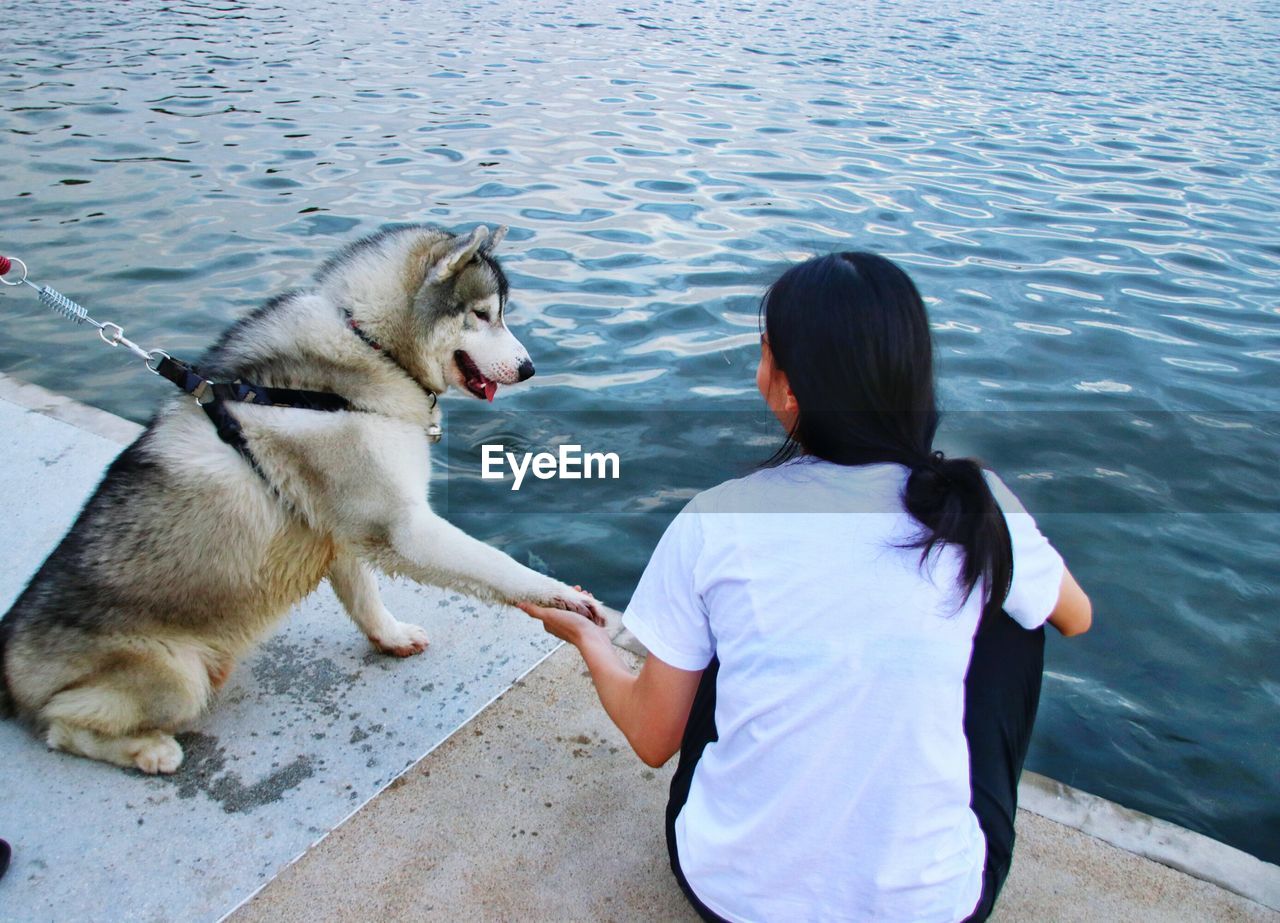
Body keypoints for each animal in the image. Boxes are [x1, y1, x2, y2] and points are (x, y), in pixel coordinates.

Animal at [0, 222, 599, 768]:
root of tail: (6, 657)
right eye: (482, 314)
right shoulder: (401, 526)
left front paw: (389, 636)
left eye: (499, 313)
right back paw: (148, 750)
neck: (367, 345)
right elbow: (496, 566)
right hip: (174, 675)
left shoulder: (340, 530)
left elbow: (364, 596)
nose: (529, 368)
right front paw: (559, 596)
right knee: (61, 725)